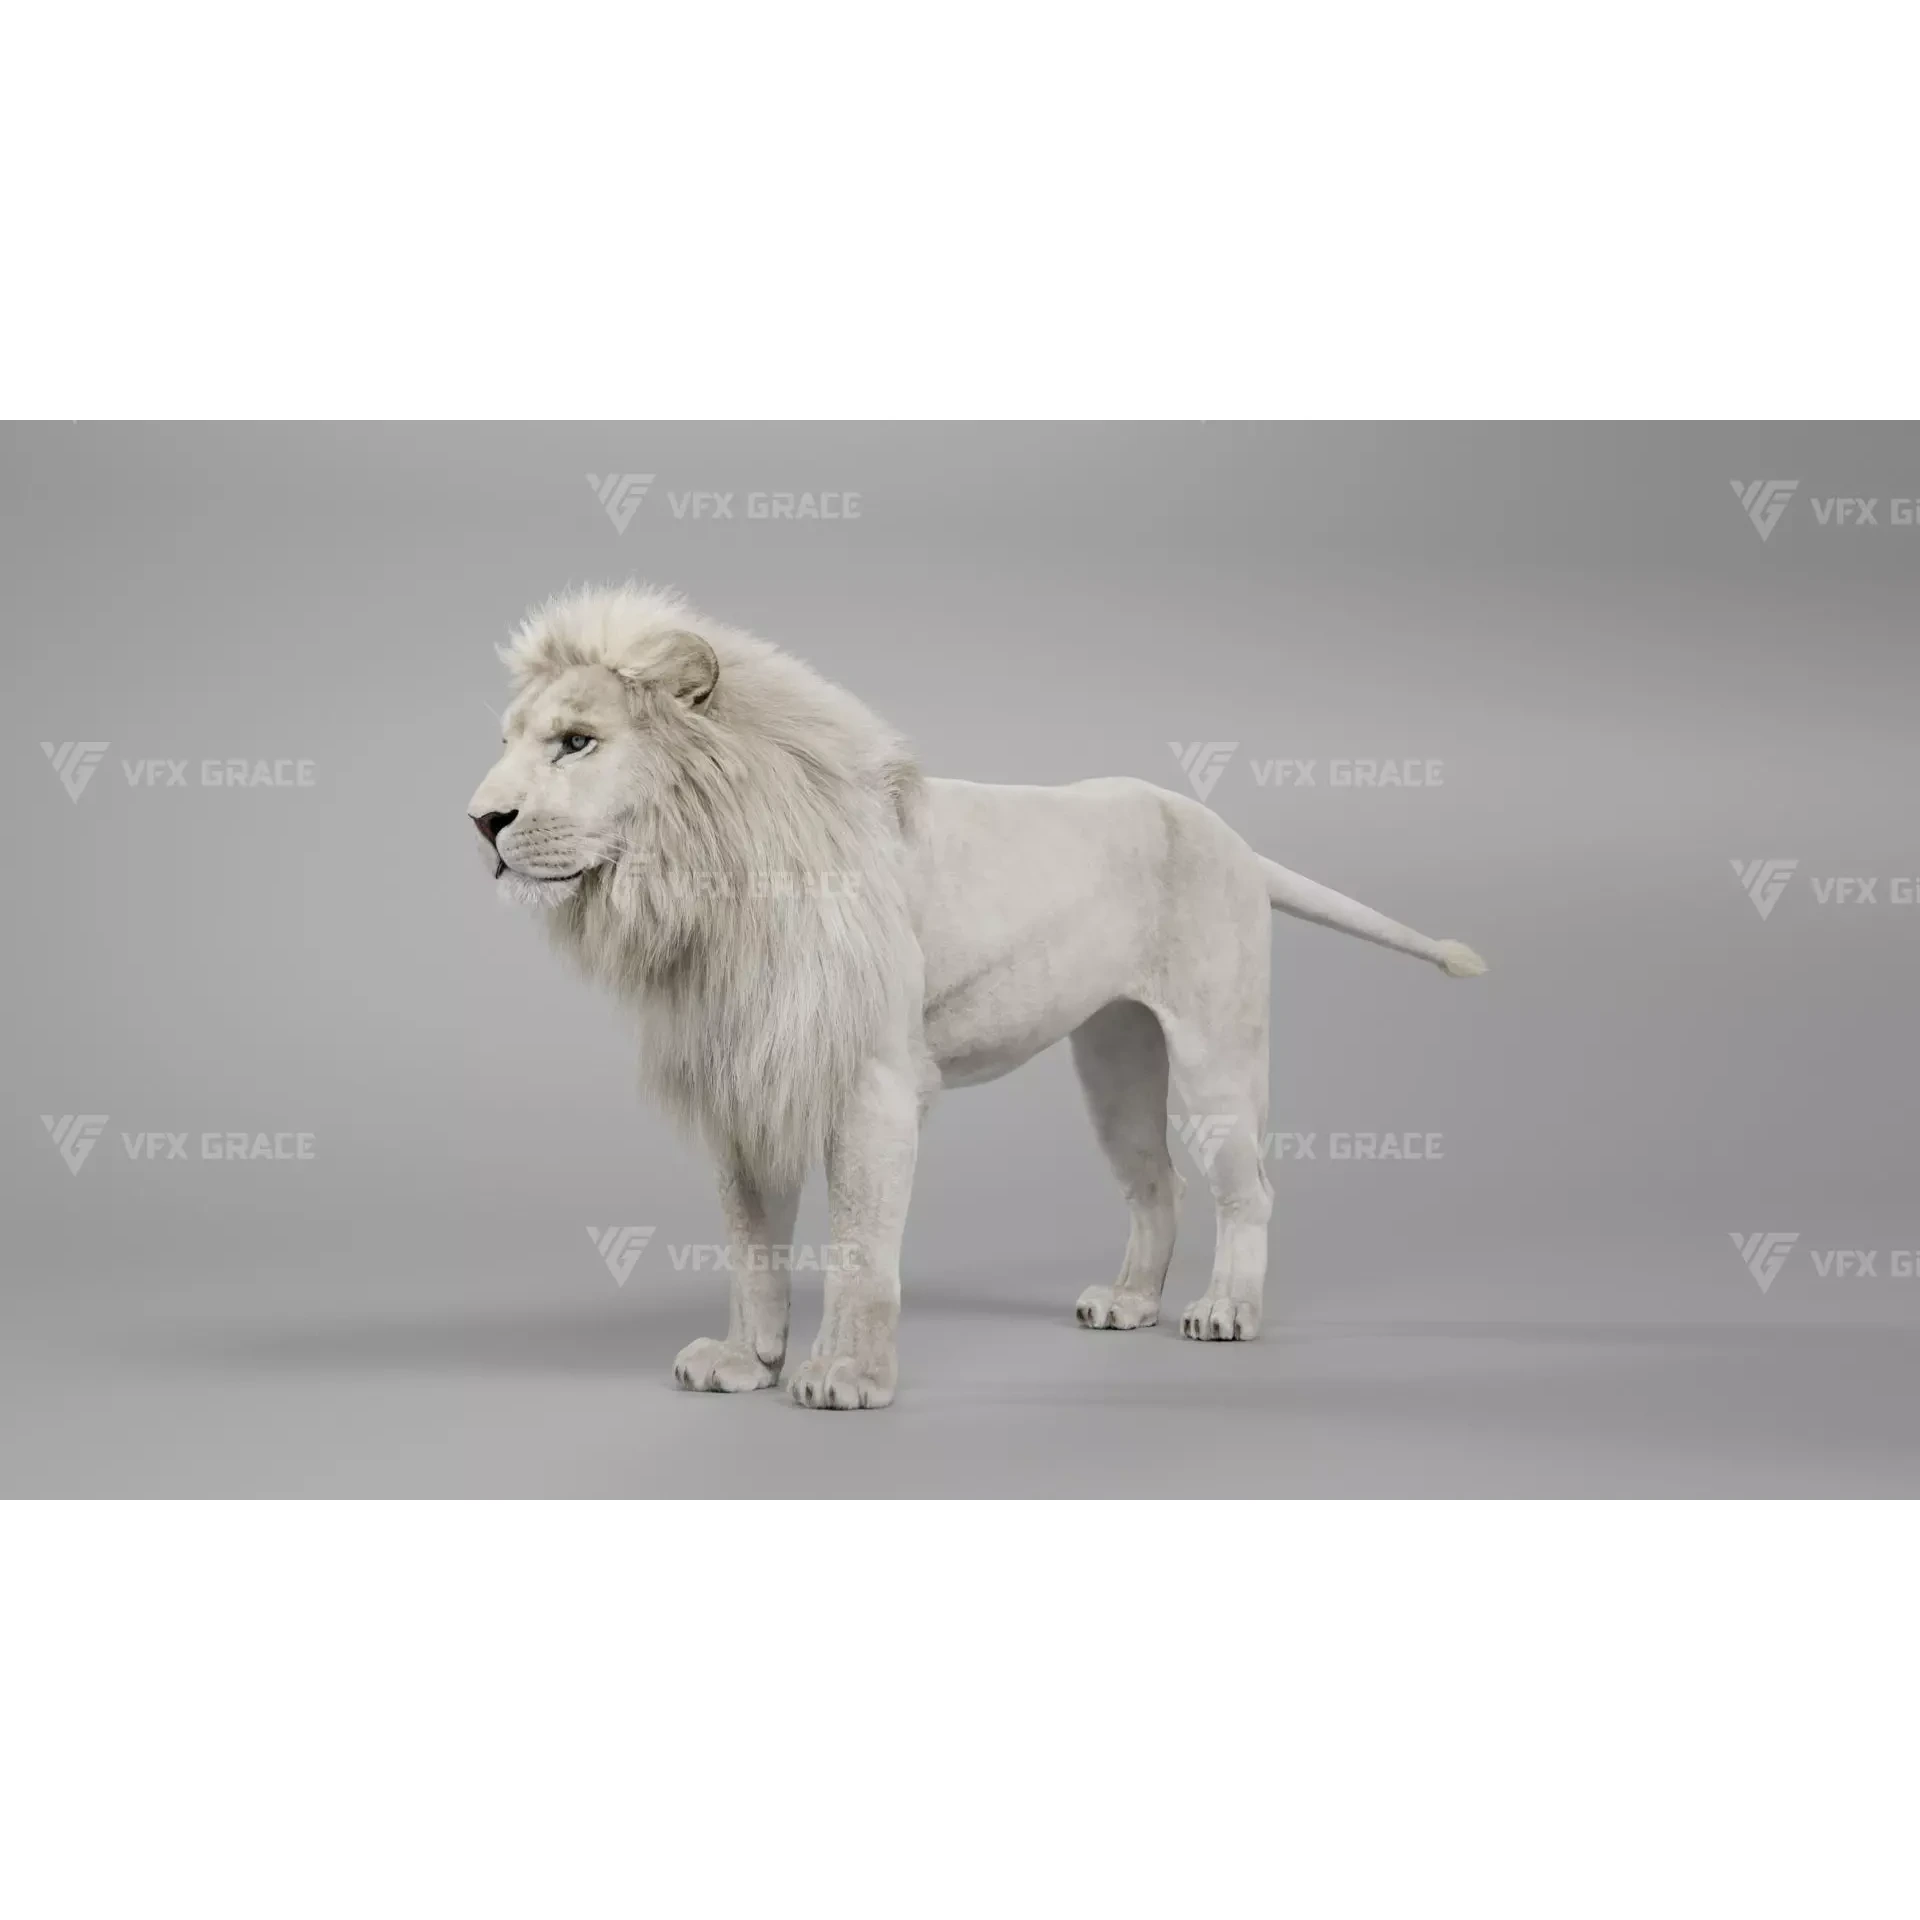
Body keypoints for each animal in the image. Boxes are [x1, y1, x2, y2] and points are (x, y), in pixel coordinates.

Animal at [468, 584, 1487, 1410]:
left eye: (576, 743)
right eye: (511, 743)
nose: (481, 820)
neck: (706, 882)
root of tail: (1225, 831)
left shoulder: (871, 1086)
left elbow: (859, 1247)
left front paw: (846, 1377)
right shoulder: (747, 1078)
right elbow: (751, 1244)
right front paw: (744, 1362)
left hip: (1214, 1054)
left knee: (1250, 1189)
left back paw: (1226, 1310)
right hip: (1115, 1059)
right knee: (1155, 1182)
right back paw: (1128, 1303)